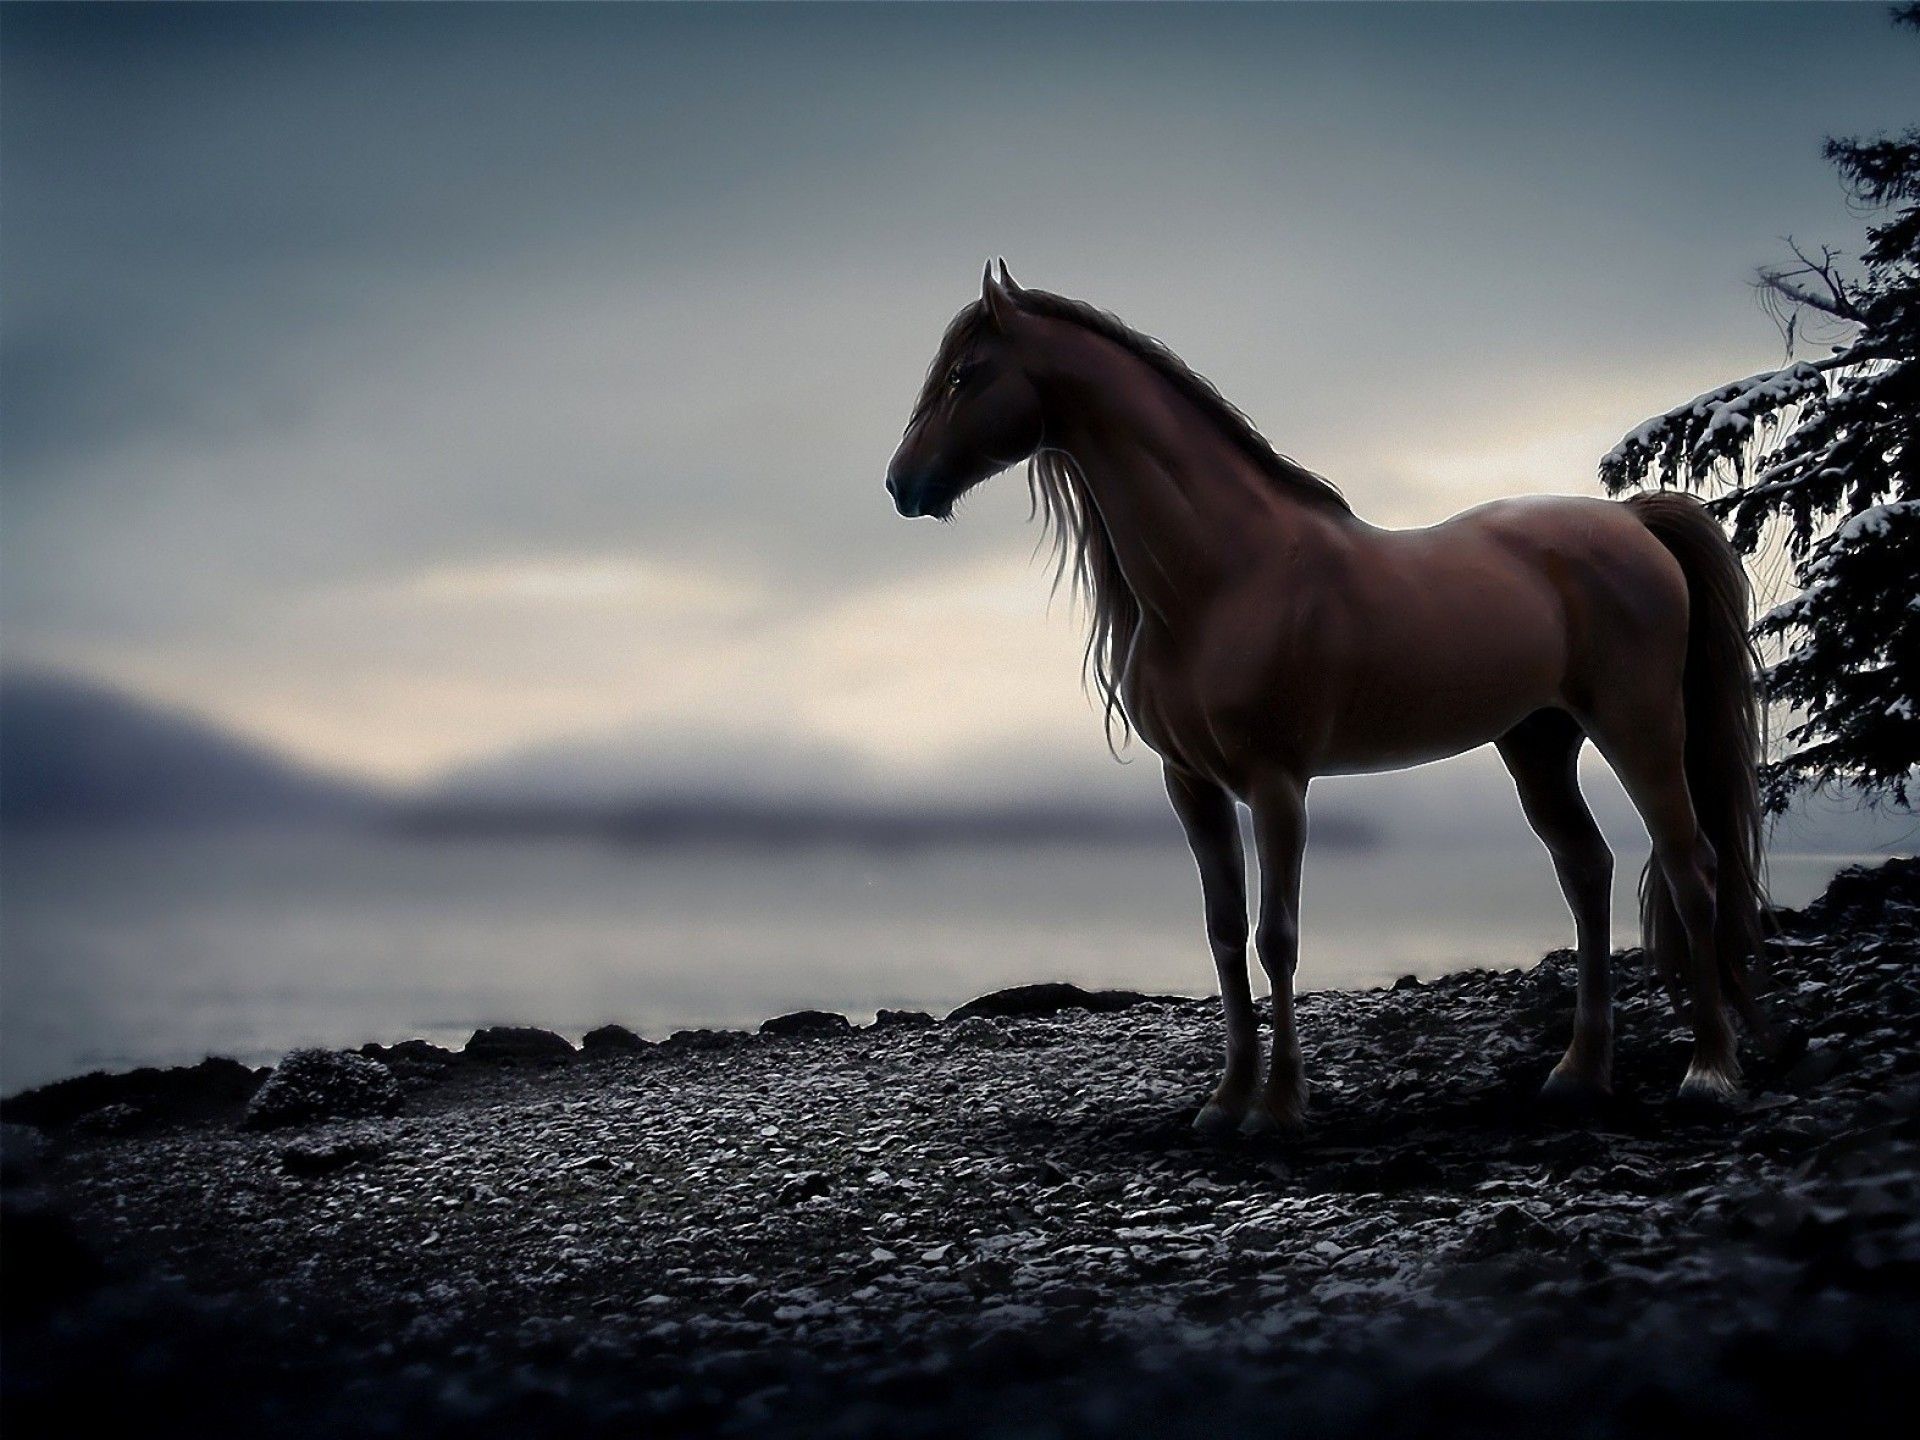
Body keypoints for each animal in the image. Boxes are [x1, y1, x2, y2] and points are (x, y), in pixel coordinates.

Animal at [885, 261, 1772, 1135]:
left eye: (965, 374)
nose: (901, 483)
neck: (1226, 574)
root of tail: (1635, 523)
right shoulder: (1192, 786)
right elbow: (1223, 934)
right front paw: (1225, 1100)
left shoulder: (1278, 783)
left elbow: (1276, 938)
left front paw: (1278, 1106)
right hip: (1537, 743)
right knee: (1587, 870)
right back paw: (1579, 1074)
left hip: (1639, 727)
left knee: (1691, 866)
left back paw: (1709, 1072)